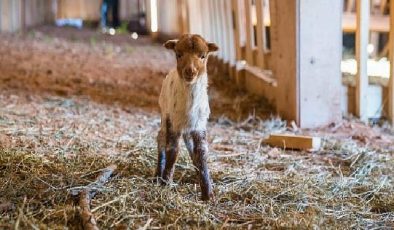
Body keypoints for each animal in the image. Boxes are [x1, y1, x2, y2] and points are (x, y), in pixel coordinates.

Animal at [157, 34, 219, 201]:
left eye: (203, 56)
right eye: (178, 55)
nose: (190, 71)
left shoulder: (200, 126)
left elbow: (201, 152)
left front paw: (208, 193)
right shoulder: (173, 122)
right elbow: (173, 150)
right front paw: (165, 182)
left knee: (191, 148)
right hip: (164, 113)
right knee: (161, 139)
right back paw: (158, 174)